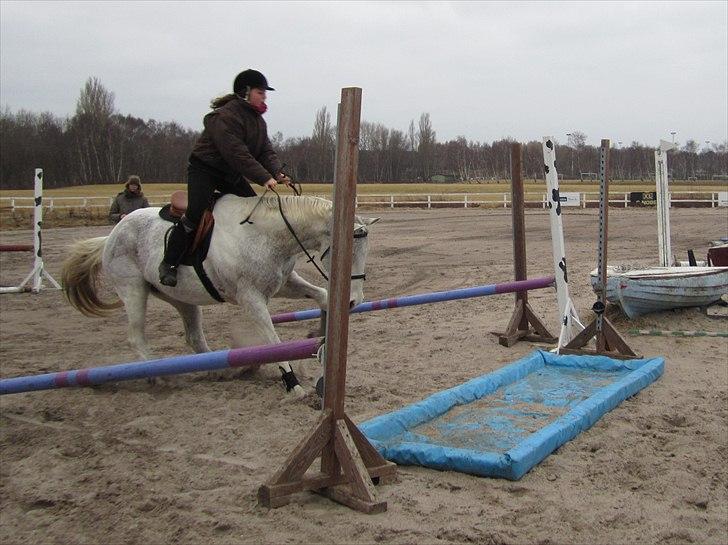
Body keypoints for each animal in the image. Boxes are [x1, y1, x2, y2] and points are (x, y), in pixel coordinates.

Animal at [61, 194, 378, 396]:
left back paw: (217, 370)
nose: (354, 301)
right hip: (133, 290)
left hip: (181, 298)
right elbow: (273, 340)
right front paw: (291, 383)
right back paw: (160, 376)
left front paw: (322, 342)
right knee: (136, 337)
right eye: (346, 251)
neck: (266, 235)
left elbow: (322, 295)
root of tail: (112, 234)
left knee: (193, 337)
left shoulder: (285, 283)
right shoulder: (251, 298)